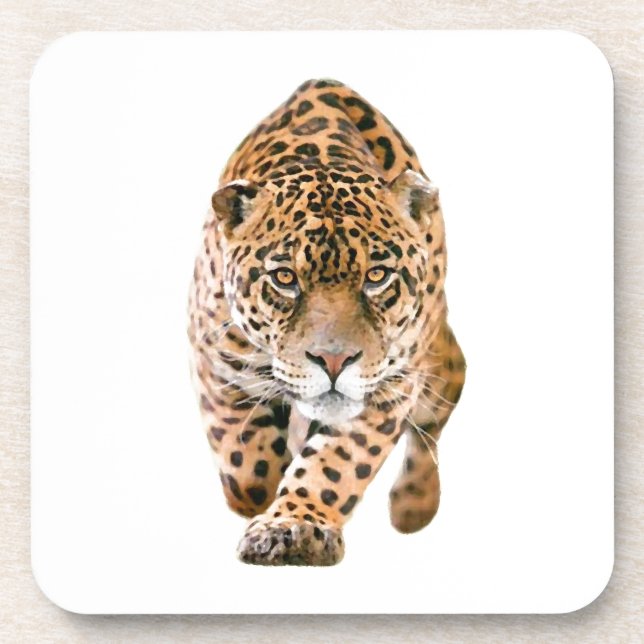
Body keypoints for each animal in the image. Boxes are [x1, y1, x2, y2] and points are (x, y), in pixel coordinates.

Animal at [188, 78, 465, 566]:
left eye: (377, 276)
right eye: (285, 278)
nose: (334, 362)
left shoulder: (389, 386)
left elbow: (336, 464)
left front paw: (295, 526)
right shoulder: (217, 363)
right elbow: (247, 471)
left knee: (439, 408)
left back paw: (414, 504)